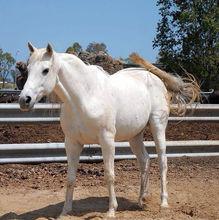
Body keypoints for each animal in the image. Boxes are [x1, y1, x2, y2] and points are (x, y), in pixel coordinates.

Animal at [18, 43, 199, 218]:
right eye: (28, 69)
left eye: (45, 70)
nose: (24, 100)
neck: (85, 97)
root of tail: (155, 78)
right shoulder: (72, 143)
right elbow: (70, 178)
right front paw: (65, 211)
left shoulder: (107, 141)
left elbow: (110, 175)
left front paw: (111, 210)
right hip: (135, 136)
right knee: (145, 160)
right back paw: (141, 200)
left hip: (158, 125)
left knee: (162, 161)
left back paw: (163, 203)